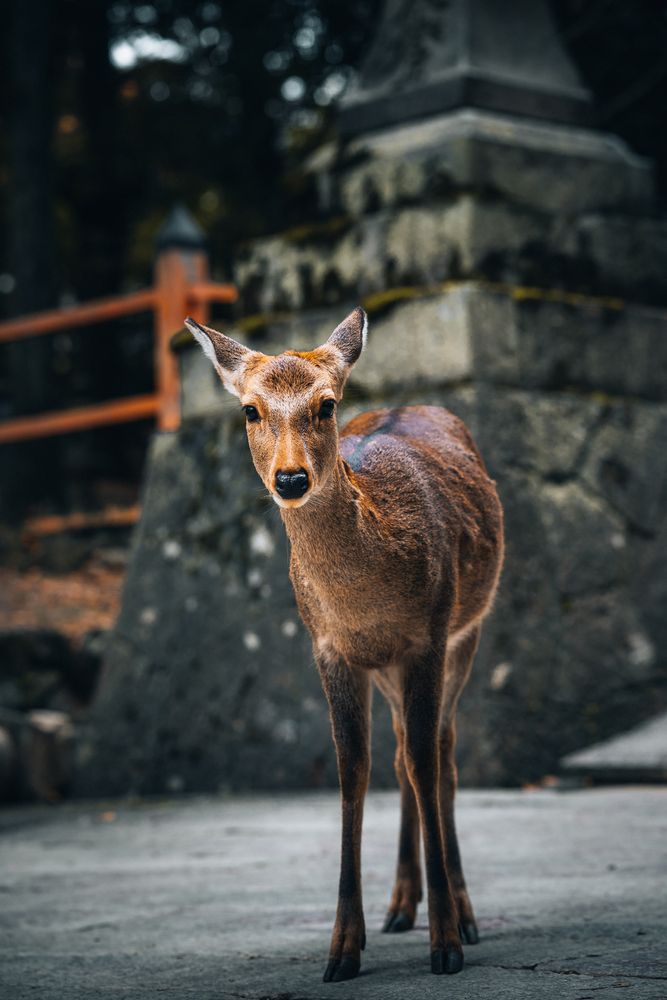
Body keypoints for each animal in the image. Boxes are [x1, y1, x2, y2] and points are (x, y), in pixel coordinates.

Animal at [184, 307, 504, 982]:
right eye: (249, 410)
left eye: (326, 404)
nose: (290, 478)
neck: (364, 604)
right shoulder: (330, 649)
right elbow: (352, 769)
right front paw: (342, 947)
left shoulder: (427, 636)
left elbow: (426, 763)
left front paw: (446, 943)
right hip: (388, 669)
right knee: (403, 753)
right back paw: (400, 905)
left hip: (468, 632)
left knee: (439, 753)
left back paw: (461, 913)